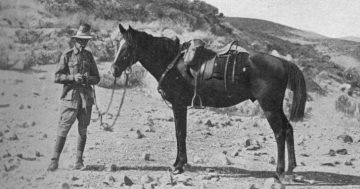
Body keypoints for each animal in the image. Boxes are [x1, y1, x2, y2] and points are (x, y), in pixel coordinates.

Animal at [110, 24, 306, 178]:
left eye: (128, 47)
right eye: (117, 45)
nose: (114, 69)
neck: (172, 63)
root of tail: (283, 62)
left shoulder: (179, 105)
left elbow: (180, 133)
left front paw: (178, 166)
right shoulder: (180, 106)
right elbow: (180, 133)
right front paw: (179, 163)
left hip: (269, 107)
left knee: (279, 133)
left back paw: (279, 171)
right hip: (276, 107)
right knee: (288, 129)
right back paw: (290, 168)